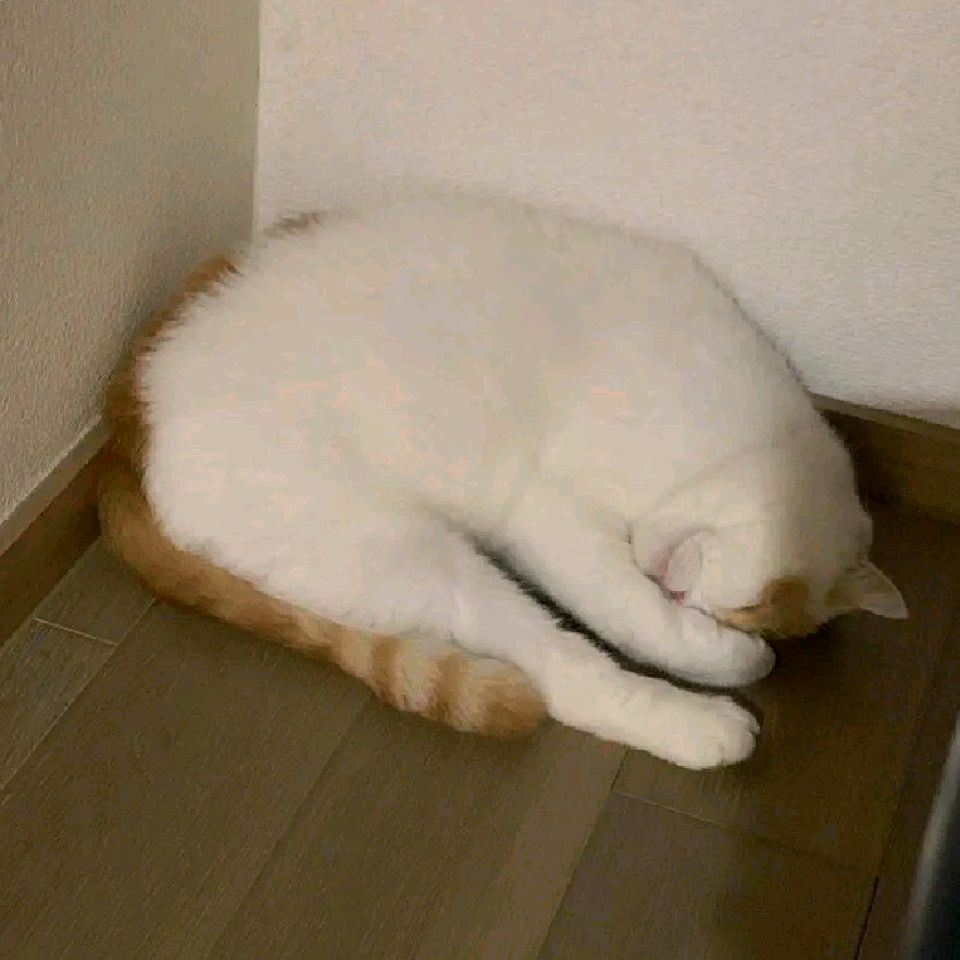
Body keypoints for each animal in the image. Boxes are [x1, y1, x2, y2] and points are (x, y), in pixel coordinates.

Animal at [99, 190, 906, 769]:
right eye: (748, 606)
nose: (680, 592)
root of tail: (122, 419)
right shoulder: (550, 514)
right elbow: (632, 615)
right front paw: (729, 654)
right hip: (410, 555)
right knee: (565, 669)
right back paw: (702, 726)